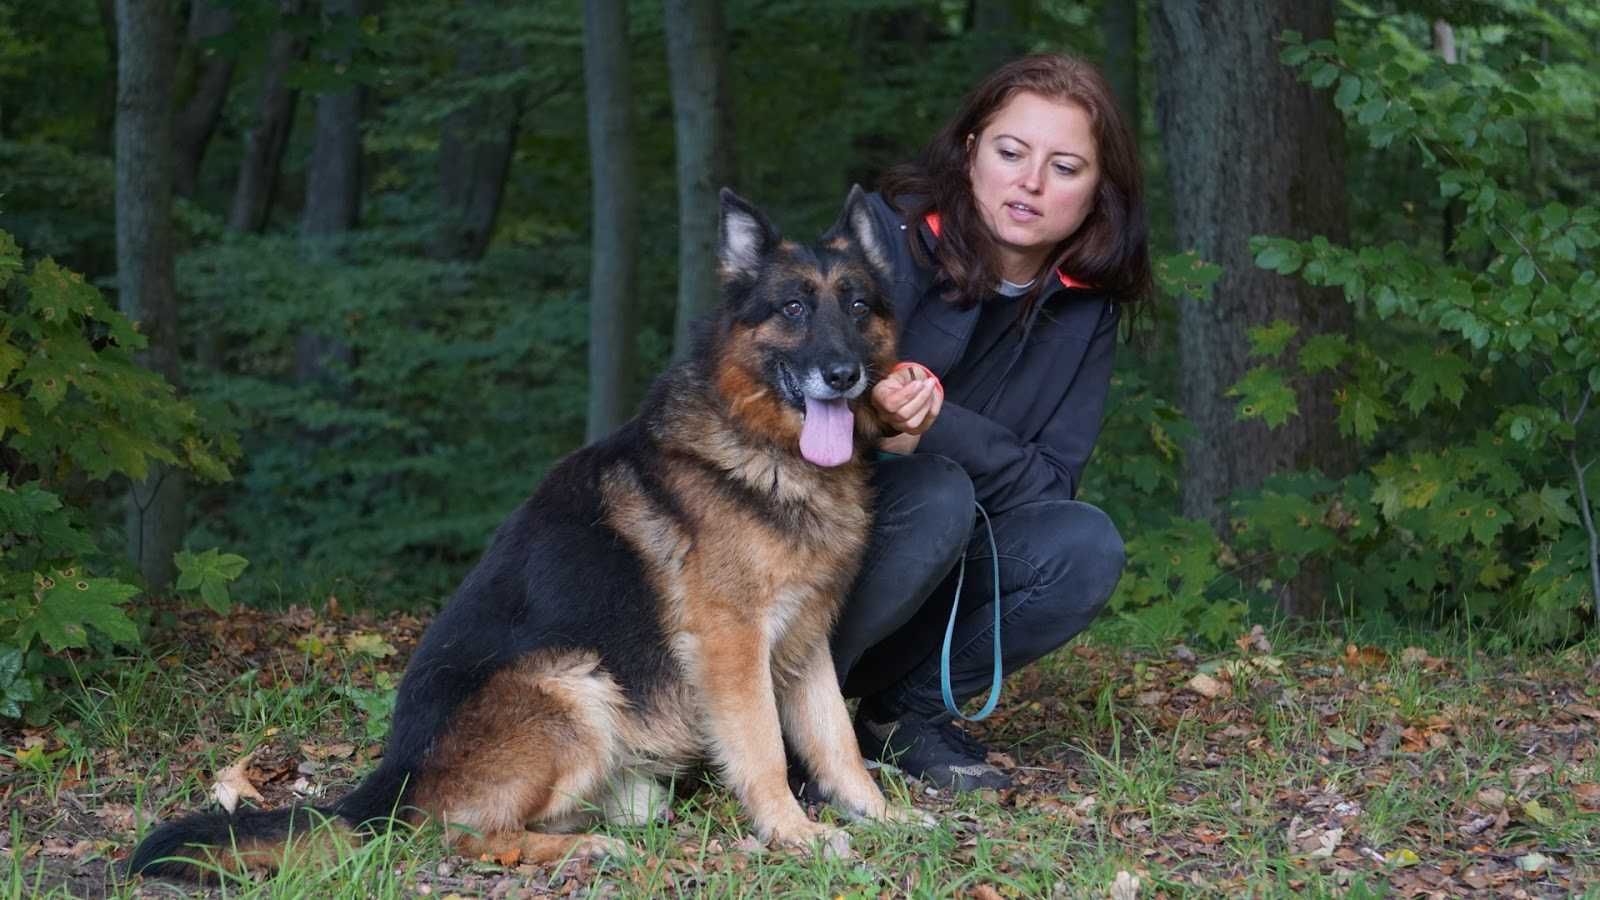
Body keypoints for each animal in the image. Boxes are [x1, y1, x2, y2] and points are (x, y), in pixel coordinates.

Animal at [131, 184, 934, 877]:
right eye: (793, 306)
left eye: (857, 306)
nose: (844, 373)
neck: (762, 447)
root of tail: (391, 780)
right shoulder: (733, 644)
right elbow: (765, 746)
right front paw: (793, 831)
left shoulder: (806, 639)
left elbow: (835, 740)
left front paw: (880, 815)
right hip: (573, 686)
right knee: (457, 835)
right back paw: (582, 850)